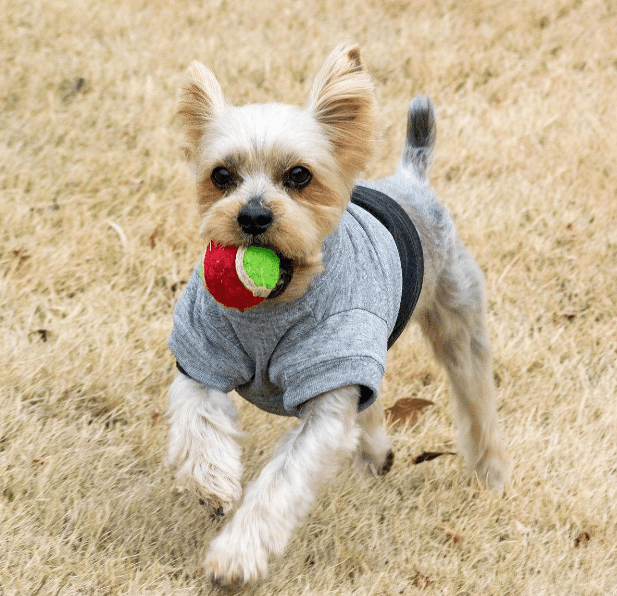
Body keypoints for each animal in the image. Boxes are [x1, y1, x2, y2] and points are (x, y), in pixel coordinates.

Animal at [165, 44, 510, 584]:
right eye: (221, 175)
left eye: (299, 175)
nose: (253, 216)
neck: (276, 304)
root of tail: (409, 178)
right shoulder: (201, 351)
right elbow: (197, 419)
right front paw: (214, 481)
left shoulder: (329, 392)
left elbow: (281, 483)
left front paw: (235, 555)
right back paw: (374, 453)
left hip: (457, 326)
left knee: (477, 402)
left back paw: (489, 472)